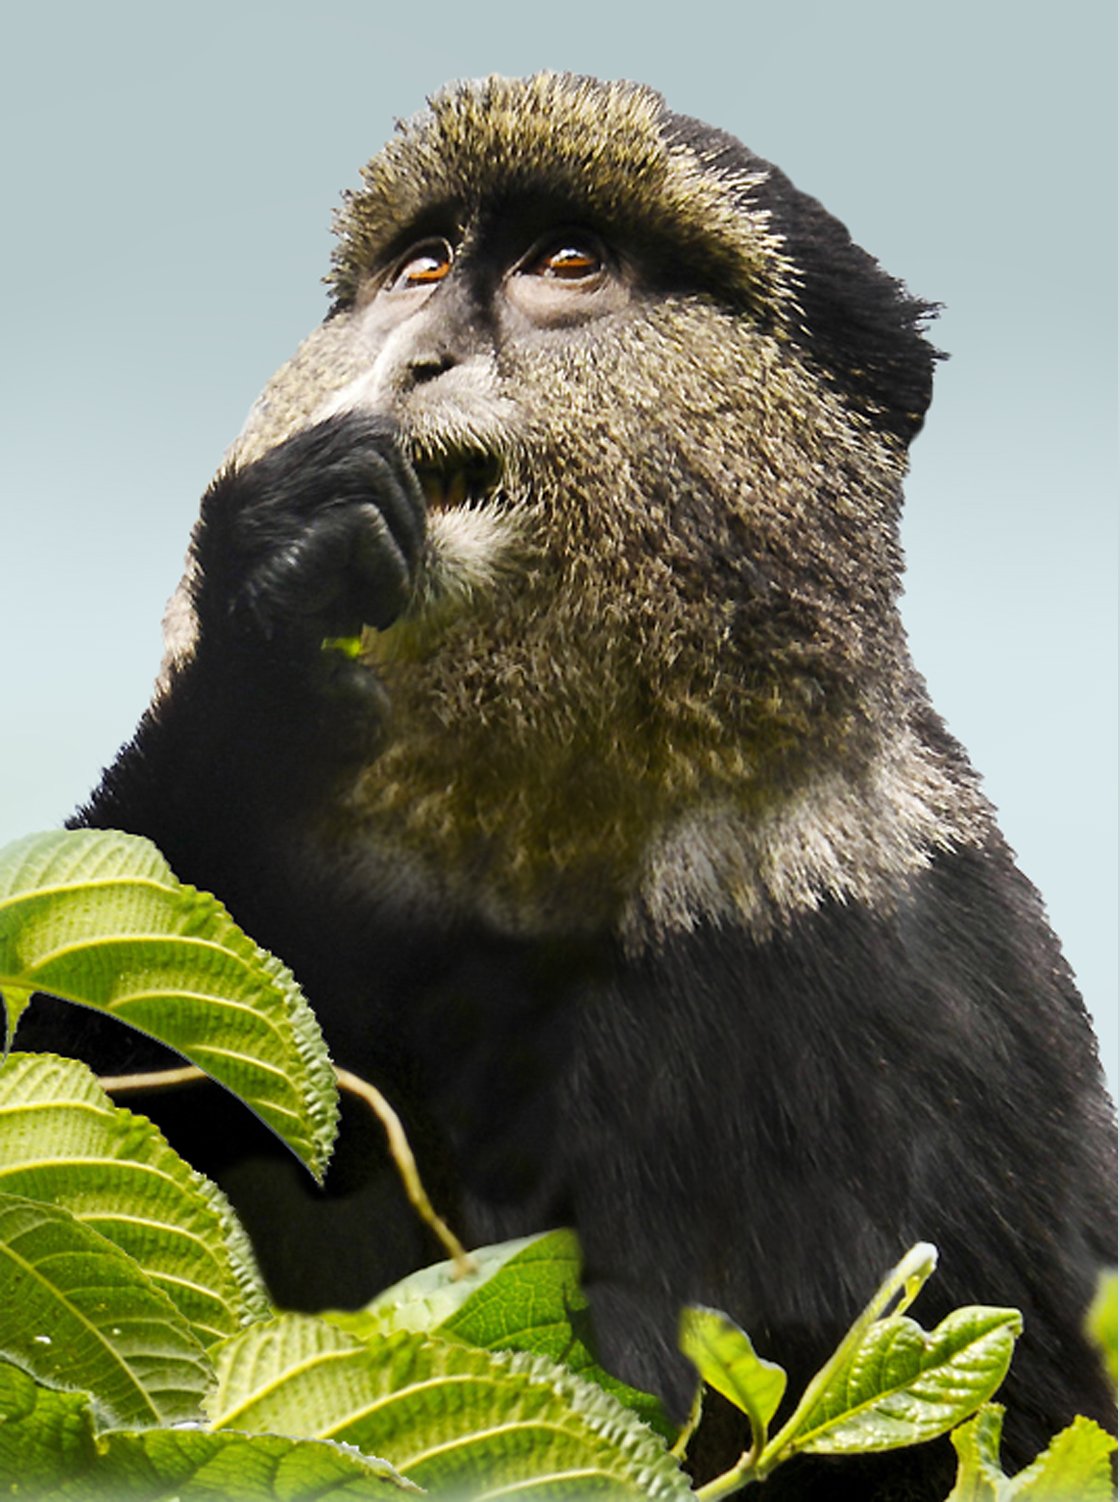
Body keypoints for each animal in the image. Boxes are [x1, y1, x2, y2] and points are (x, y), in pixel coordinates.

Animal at [16, 74, 1116, 1498]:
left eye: (568, 263)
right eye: (423, 266)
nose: (415, 358)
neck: (534, 824)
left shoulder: (957, 985)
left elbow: (1021, 1391)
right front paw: (272, 589)